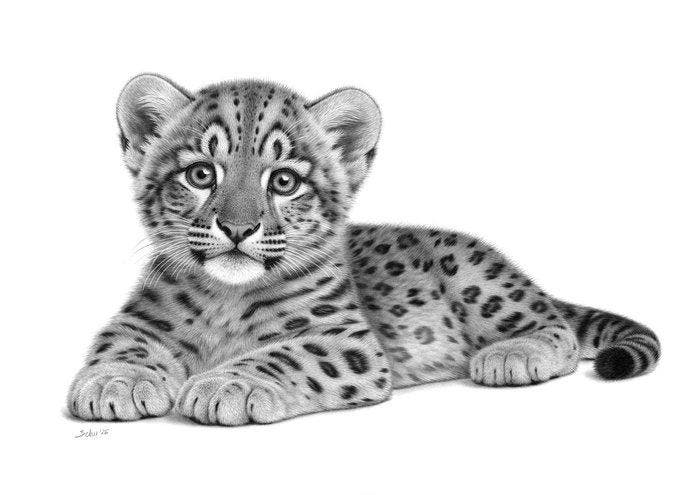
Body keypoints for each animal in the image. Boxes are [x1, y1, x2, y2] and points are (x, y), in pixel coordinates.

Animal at [67, 74, 661, 425]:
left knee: (556, 327)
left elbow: (286, 353)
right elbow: (124, 344)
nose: (238, 228)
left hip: (478, 280)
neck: (224, 300)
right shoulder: (139, 320)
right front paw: (116, 382)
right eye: (200, 174)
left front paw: (225, 386)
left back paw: (509, 356)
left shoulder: (345, 338)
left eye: (284, 182)